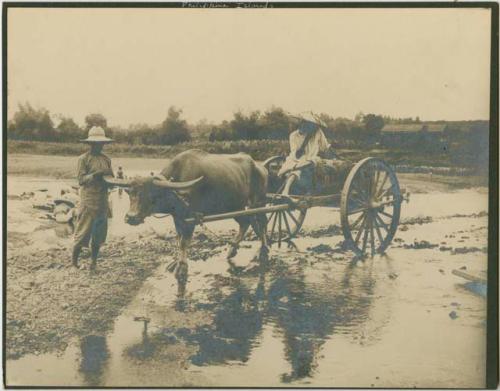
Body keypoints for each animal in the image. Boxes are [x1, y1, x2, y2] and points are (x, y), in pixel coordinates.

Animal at [103, 150, 272, 290]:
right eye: (130, 193)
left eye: (151, 195)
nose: (131, 217)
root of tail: (260, 167)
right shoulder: (178, 218)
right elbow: (179, 240)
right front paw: (176, 262)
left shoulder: (191, 218)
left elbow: (185, 242)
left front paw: (182, 267)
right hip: (238, 206)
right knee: (248, 222)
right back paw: (233, 250)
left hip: (259, 201)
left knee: (262, 221)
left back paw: (264, 248)